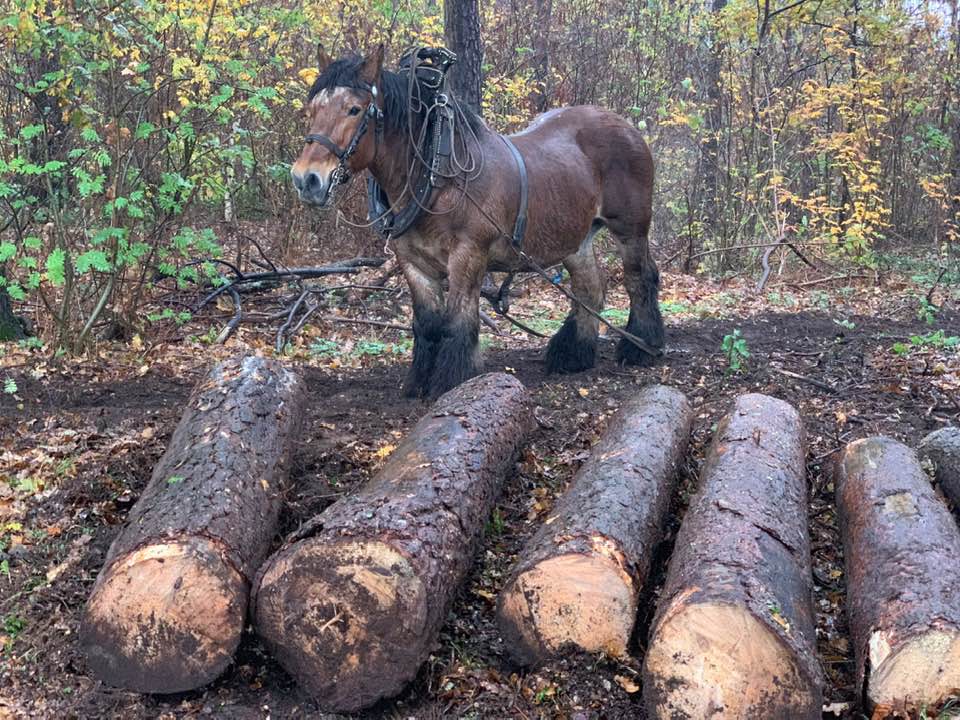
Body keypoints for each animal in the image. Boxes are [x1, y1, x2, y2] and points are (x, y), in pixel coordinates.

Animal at [292, 46, 664, 400]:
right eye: (312, 109)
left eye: (354, 109)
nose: (306, 179)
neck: (438, 175)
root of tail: (627, 127)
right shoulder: (413, 262)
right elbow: (427, 324)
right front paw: (419, 383)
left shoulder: (468, 254)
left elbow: (458, 321)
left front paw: (452, 382)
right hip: (575, 237)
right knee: (590, 288)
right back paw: (573, 355)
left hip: (630, 229)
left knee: (639, 280)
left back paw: (642, 347)